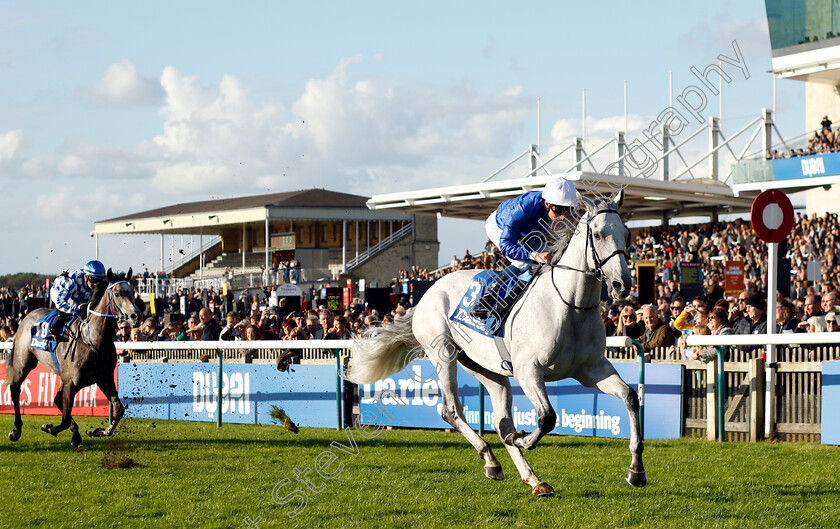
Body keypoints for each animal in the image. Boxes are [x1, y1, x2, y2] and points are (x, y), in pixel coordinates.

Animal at [5, 268, 139, 446]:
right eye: (117, 294)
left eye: (131, 292)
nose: (136, 316)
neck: (92, 340)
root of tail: (26, 316)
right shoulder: (71, 382)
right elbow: (65, 418)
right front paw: (50, 428)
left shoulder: (104, 378)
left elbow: (119, 409)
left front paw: (101, 431)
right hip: (24, 363)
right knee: (15, 389)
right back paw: (16, 430)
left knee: (57, 399)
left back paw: (75, 434)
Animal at [344, 189, 648, 496]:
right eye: (597, 234)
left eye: (626, 234)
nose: (623, 284)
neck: (570, 306)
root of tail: (428, 291)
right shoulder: (529, 370)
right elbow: (547, 417)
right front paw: (522, 438)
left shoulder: (591, 370)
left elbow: (630, 396)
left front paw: (636, 470)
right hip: (443, 354)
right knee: (451, 410)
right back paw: (491, 458)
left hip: (486, 368)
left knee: (501, 422)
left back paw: (532, 479)